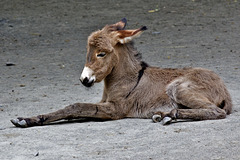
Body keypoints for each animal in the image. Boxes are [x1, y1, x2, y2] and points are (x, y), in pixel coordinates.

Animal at [11, 17, 232, 127]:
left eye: (101, 53)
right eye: (87, 51)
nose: (84, 79)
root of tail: (225, 91)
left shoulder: (115, 109)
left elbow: (76, 106)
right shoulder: (103, 104)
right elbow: (73, 111)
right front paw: (28, 119)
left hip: (180, 88)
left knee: (216, 111)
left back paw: (169, 114)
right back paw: (164, 115)